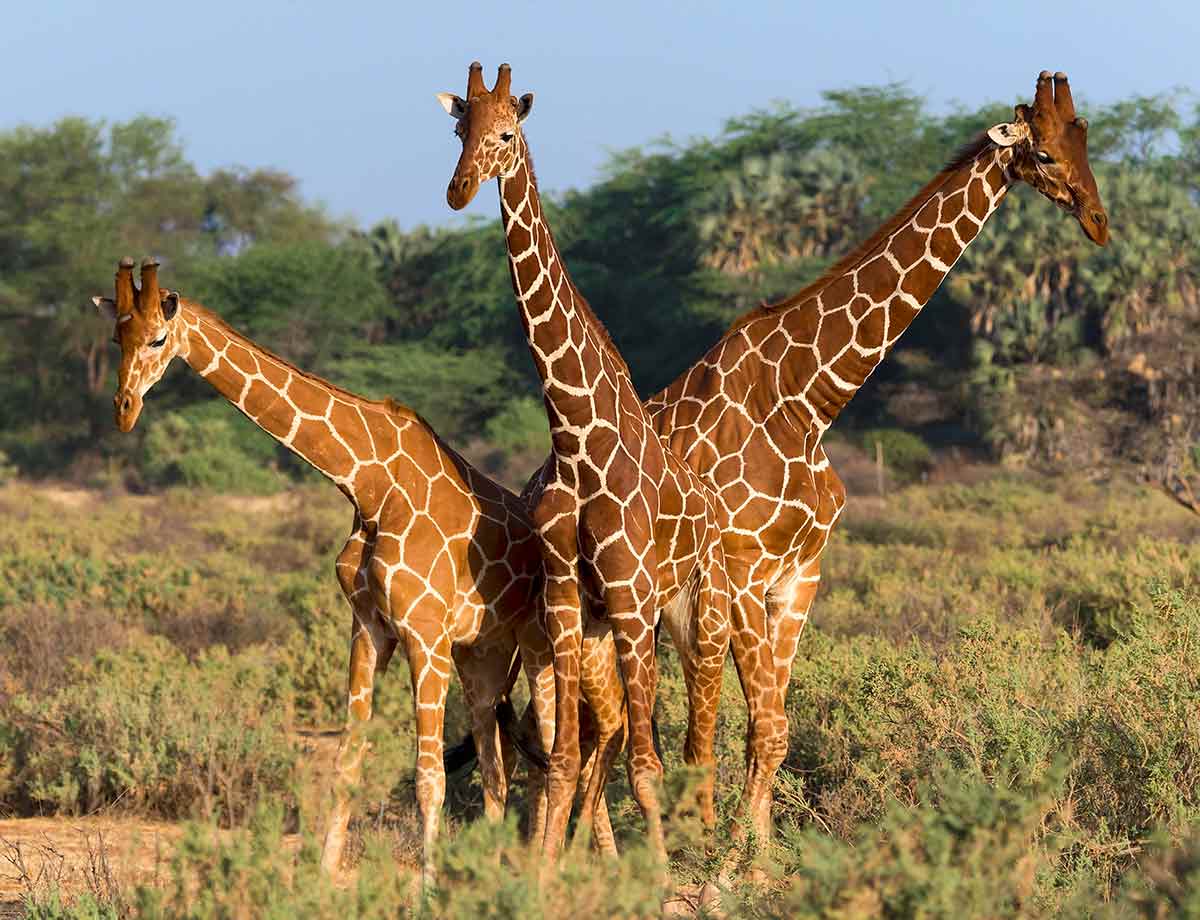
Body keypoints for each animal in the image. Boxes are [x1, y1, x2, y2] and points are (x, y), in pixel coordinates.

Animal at [87, 255, 624, 882]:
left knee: (570, 747)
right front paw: (322, 880)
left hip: (547, 649)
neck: (367, 484)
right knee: (503, 768)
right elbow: (346, 765)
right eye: (115, 337)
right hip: (486, 659)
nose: (123, 410)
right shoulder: (370, 629)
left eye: (158, 337)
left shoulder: (424, 636)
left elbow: (429, 777)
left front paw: (427, 889)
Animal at [436, 64, 724, 863]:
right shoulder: (568, 603)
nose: (459, 190)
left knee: (700, 741)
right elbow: (563, 756)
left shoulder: (630, 598)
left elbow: (647, 767)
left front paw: (657, 877)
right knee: (605, 737)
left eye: (507, 134)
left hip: (693, 611)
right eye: (459, 128)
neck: (575, 439)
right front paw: (542, 875)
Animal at [643, 71, 1108, 849]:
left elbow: (772, 732)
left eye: (1084, 141)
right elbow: (759, 725)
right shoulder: (742, 571)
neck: (805, 401)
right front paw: (730, 860)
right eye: (1042, 153)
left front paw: (758, 855)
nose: (1100, 223)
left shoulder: (800, 573)